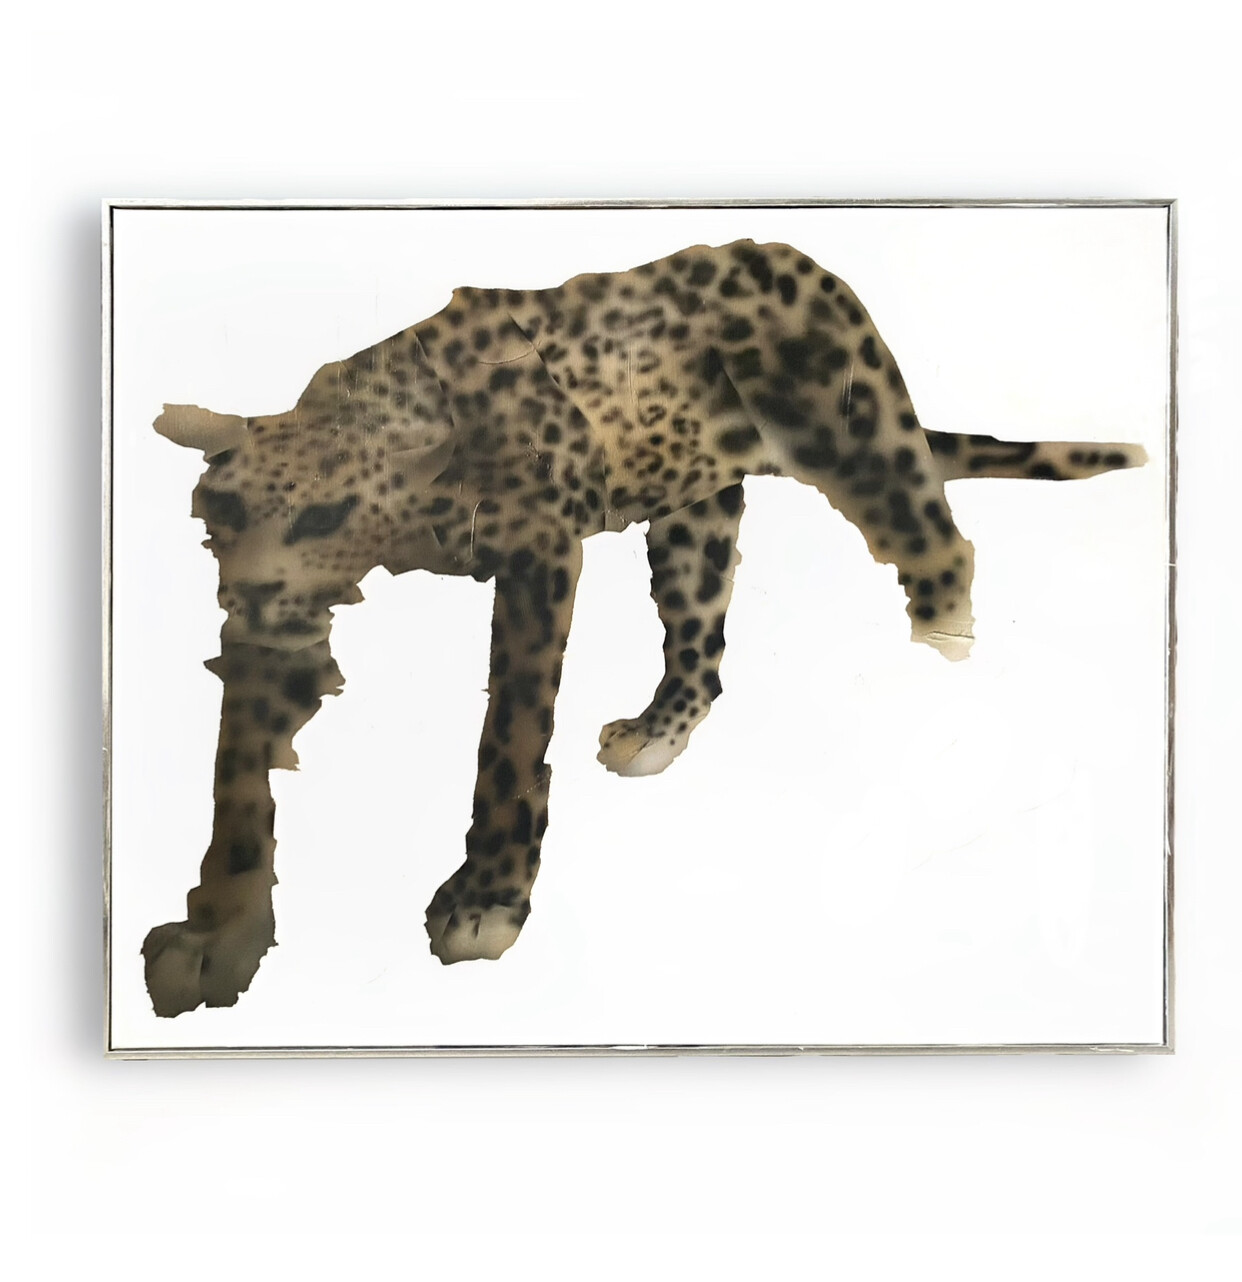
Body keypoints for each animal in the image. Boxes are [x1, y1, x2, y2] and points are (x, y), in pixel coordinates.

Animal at [140, 239, 1147, 1016]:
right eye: (221, 512)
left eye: (325, 515)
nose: (250, 604)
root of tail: (792, 255)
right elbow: (238, 777)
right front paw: (216, 934)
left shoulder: (540, 555)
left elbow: (510, 736)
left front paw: (487, 900)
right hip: (693, 513)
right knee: (701, 644)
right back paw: (658, 733)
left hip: (856, 441)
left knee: (939, 542)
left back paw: (943, 652)